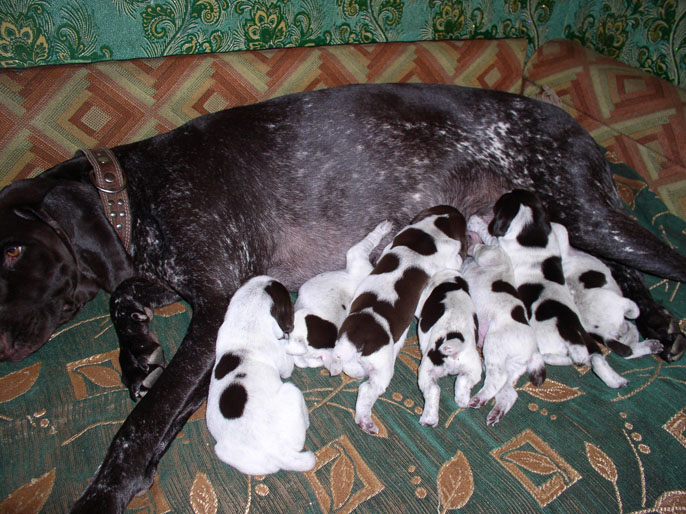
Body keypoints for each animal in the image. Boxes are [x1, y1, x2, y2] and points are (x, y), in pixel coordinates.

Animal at [329, 205, 466, 434]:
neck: (433, 230)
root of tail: (357, 339)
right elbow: (456, 261)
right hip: (383, 368)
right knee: (367, 389)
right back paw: (366, 420)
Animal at [415, 268, 481, 427]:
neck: (451, 282)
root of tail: (455, 339)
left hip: (426, 370)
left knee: (433, 391)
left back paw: (428, 420)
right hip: (474, 367)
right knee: (463, 380)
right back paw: (462, 400)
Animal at [462, 234, 546, 425]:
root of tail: (534, 351)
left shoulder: (492, 255)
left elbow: (480, 249)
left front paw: (473, 244)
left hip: (494, 344)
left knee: (497, 379)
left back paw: (479, 398)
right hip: (511, 365)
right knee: (508, 392)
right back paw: (496, 411)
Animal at [485, 189, 629, 388]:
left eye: (503, 199)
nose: (508, 190)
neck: (531, 230)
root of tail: (572, 335)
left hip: (546, 341)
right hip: (588, 342)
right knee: (596, 358)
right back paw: (614, 379)